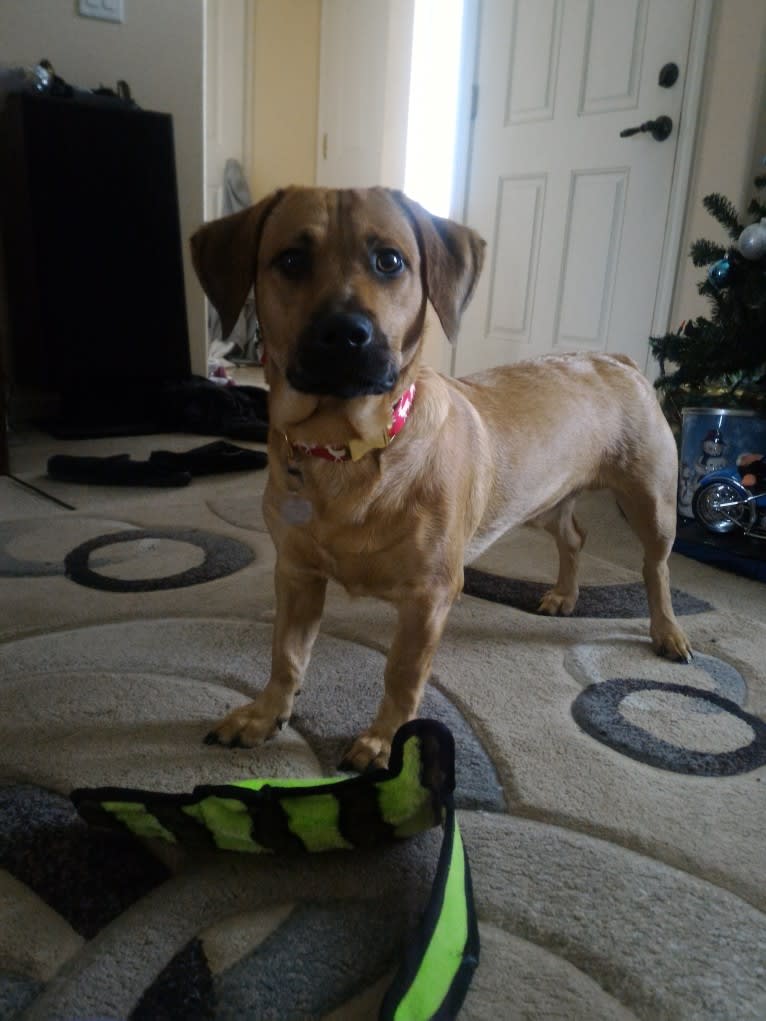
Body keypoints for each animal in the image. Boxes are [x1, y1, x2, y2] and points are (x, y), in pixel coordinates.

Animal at [190, 187, 690, 767]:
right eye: (290, 259)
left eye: (390, 261)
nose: (345, 334)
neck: (346, 450)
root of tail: (612, 358)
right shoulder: (296, 574)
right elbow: (285, 656)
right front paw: (266, 714)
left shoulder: (429, 596)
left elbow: (402, 673)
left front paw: (383, 741)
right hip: (543, 500)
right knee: (574, 536)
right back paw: (565, 595)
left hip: (650, 503)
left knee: (655, 569)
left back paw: (668, 631)